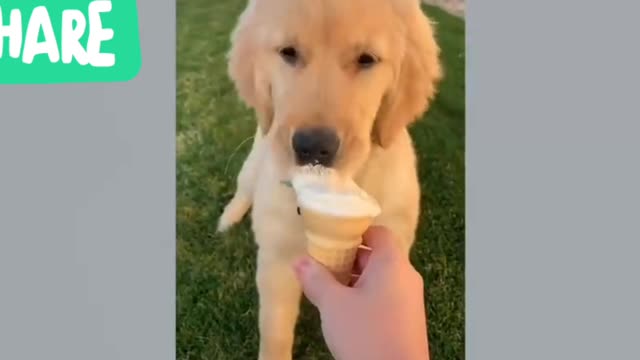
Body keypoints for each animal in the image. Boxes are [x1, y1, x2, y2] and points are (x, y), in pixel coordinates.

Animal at [218, 0, 442, 358]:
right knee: (244, 190)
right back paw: (228, 218)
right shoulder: (276, 259)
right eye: (288, 52)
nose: (312, 147)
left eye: (366, 59)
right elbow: (275, 329)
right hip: (254, 159)